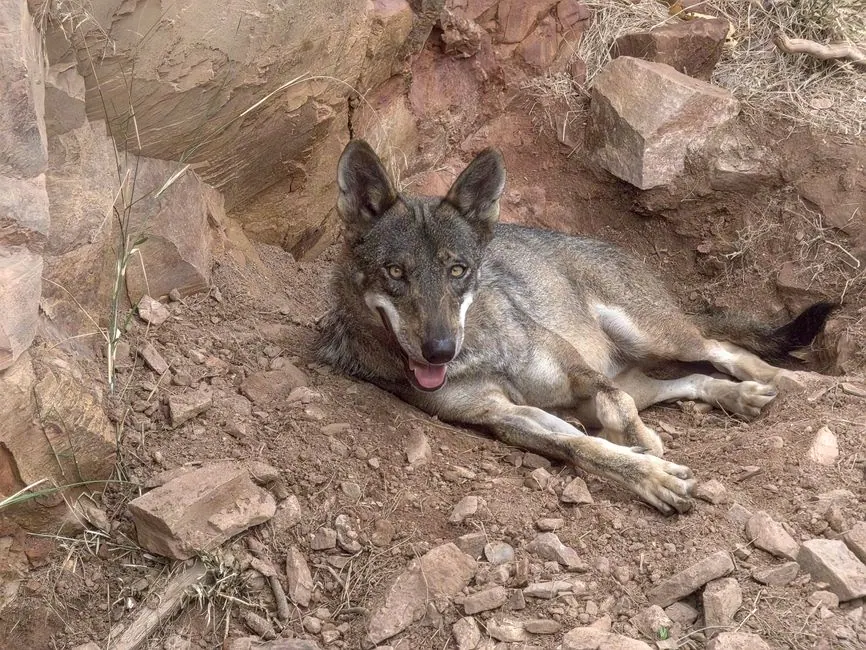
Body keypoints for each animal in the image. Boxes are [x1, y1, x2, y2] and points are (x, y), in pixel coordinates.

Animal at [315, 140, 835, 515]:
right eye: (395, 272)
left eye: (457, 271)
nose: (439, 350)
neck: (478, 349)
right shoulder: (506, 417)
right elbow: (582, 445)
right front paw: (649, 472)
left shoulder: (579, 371)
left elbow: (619, 408)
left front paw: (647, 446)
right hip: (638, 372)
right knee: (690, 379)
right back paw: (738, 396)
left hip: (655, 334)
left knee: (720, 347)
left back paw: (781, 380)